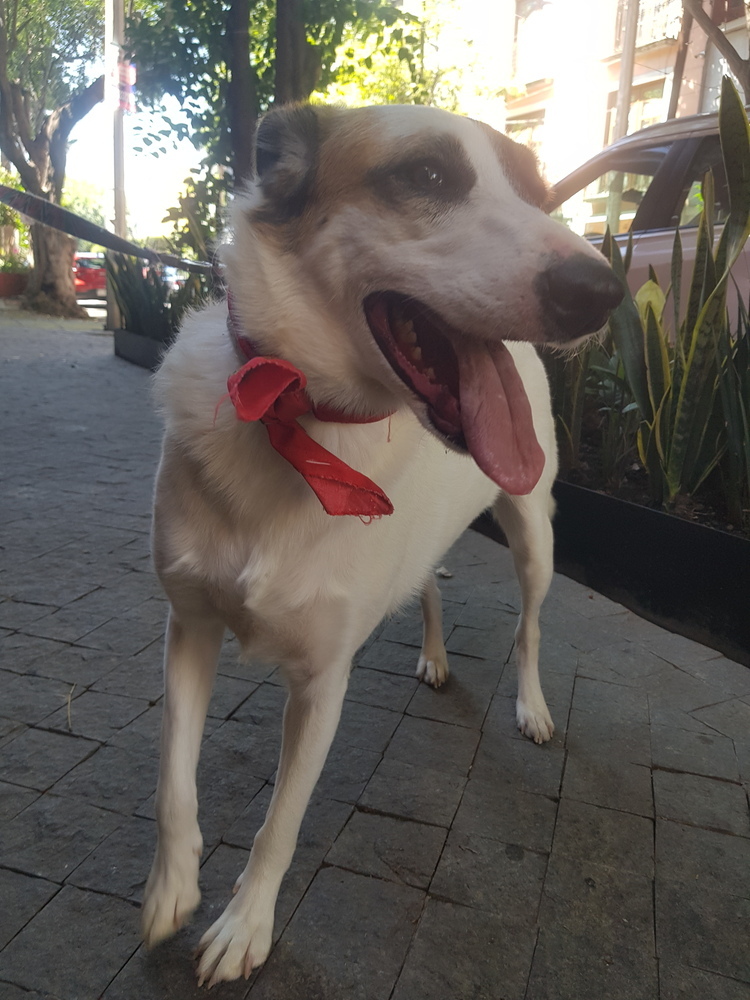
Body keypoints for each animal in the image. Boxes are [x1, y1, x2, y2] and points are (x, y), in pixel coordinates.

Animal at [141, 103, 624, 984]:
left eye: (540, 195)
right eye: (425, 175)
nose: (599, 292)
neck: (299, 419)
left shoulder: (321, 682)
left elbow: (279, 826)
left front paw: (244, 926)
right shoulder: (188, 625)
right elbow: (173, 785)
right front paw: (172, 889)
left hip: (533, 537)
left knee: (530, 626)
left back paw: (533, 706)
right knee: (426, 585)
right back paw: (433, 656)